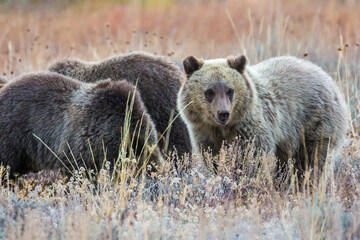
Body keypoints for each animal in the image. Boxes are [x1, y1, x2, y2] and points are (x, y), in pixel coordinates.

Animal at [179, 54, 348, 174]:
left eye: (229, 90)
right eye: (210, 91)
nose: (223, 113)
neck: (224, 128)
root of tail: (327, 77)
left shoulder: (249, 127)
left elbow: (254, 156)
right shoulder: (205, 133)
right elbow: (212, 157)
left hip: (315, 122)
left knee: (312, 158)